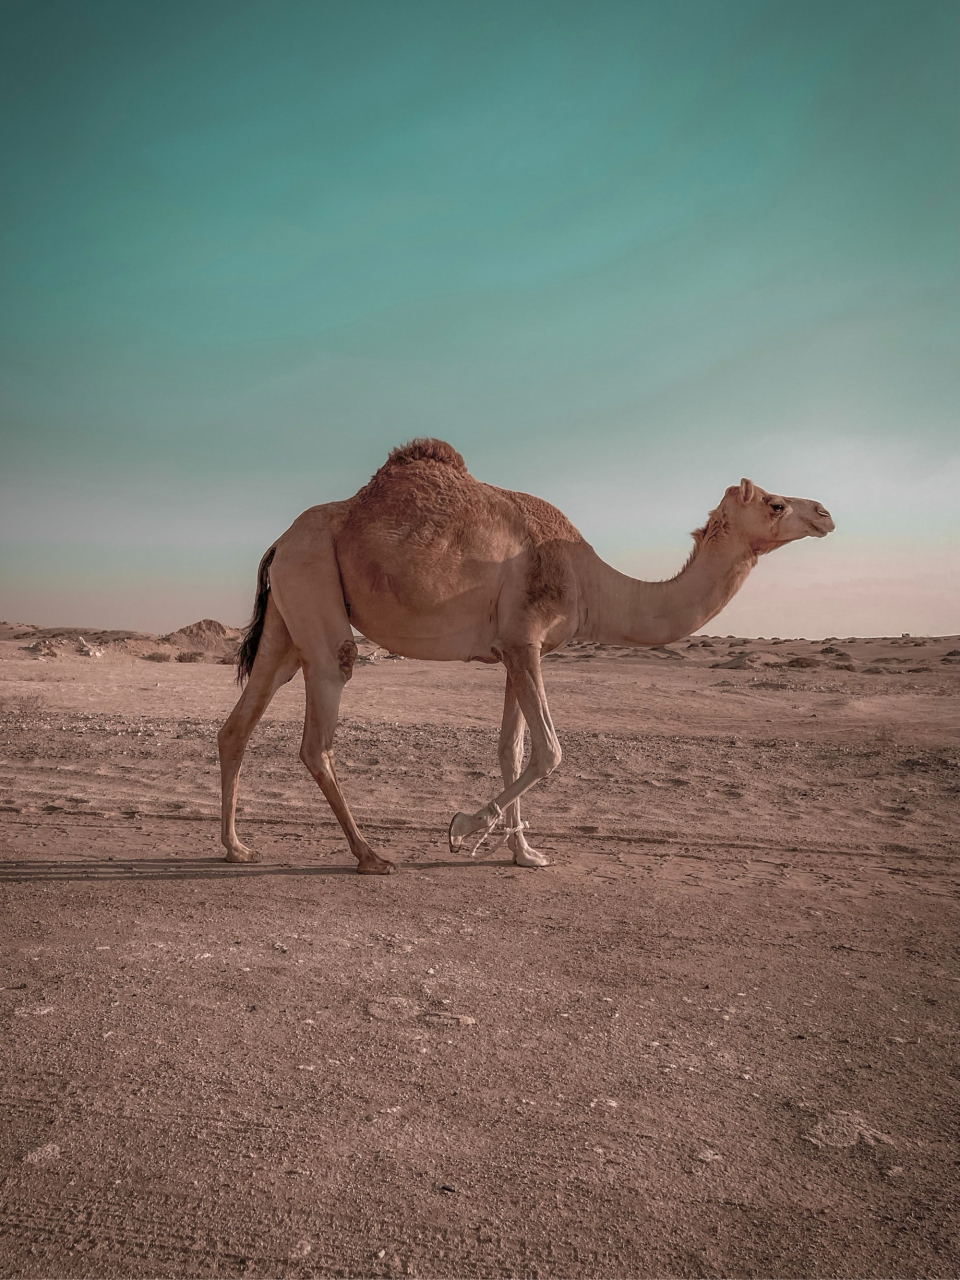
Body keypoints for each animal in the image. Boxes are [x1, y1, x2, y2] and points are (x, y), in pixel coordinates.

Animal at [218, 439, 834, 872]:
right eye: (777, 503)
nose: (825, 512)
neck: (590, 582)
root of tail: (279, 542)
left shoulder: (514, 649)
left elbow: (512, 751)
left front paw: (524, 853)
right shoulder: (526, 640)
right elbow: (551, 751)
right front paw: (463, 828)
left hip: (287, 617)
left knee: (240, 723)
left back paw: (236, 847)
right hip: (315, 584)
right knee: (319, 727)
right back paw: (370, 856)